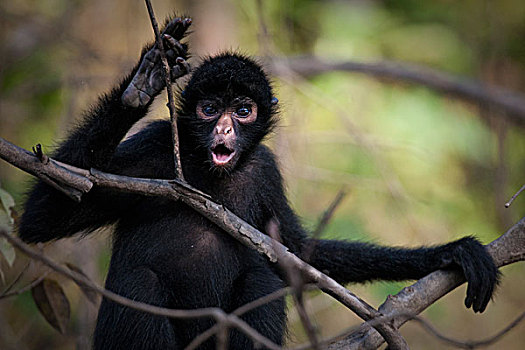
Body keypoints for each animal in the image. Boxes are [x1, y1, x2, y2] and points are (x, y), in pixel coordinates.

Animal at [17, 15, 500, 348]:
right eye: (211, 108)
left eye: (243, 111)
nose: (224, 129)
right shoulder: (152, 152)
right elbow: (43, 217)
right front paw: (142, 82)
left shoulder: (264, 170)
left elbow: (301, 255)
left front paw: (452, 252)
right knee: (142, 281)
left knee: (260, 279)